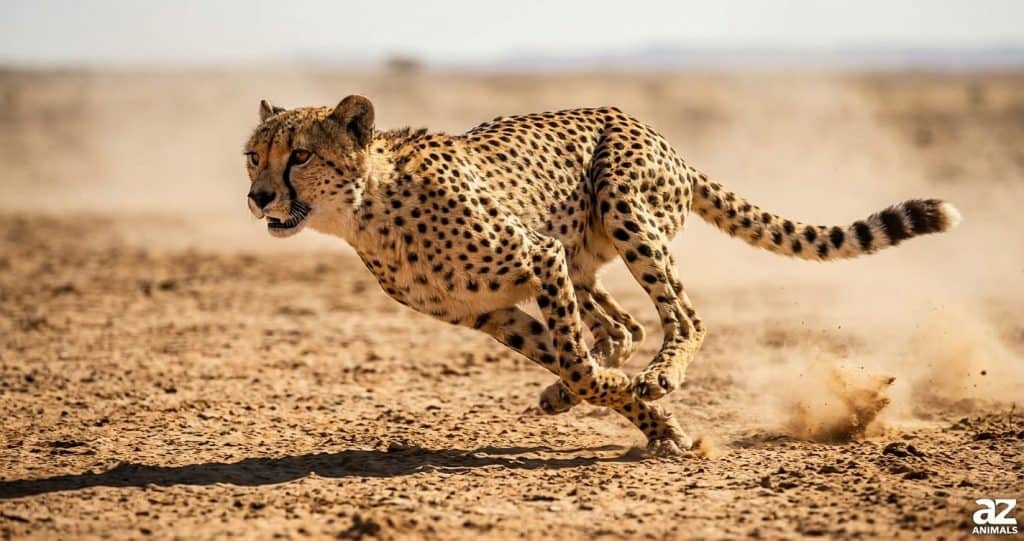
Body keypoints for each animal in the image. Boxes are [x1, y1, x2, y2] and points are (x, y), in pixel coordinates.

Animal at [243, 95, 961, 455]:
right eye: (254, 155)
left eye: (300, 156)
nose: (257, 197)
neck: (370, 208)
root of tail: (657, 133)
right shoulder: (490, 310)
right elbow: (571, 356)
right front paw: (650, 419)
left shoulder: (537, 257)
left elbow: (581, 361)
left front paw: (636, 398)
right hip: (585, 255)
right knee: (622, 326)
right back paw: (588, 389)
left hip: (623, 207)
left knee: (681, 317)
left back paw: (659, 373)